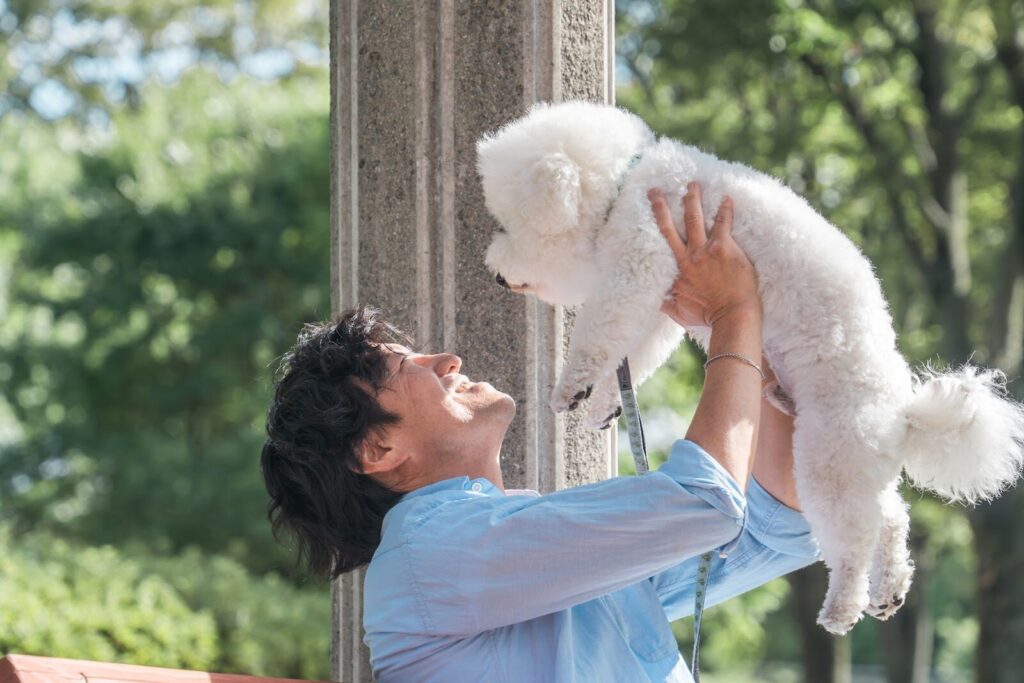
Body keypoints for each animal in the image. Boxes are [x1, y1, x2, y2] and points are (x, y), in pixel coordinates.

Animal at [477, 101, 1024, 634]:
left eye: (506, 224)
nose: (496, 274)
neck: (628, 178)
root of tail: (903, 411)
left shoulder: (640, 261)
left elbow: (604, 327)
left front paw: (571, 387)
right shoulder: (663, 297)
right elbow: (639, 347)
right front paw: (605, 405)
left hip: (831, 453)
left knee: (853, 536)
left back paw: (842, 606)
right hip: (859, 457)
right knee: (890, 518)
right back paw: (888, 590)